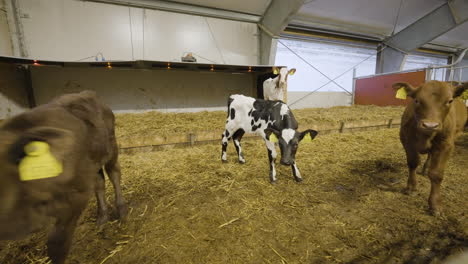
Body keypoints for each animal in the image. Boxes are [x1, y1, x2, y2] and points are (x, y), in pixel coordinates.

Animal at [0, 90, 127, 262]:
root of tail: (86, 93)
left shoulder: (77, 197)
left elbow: (57, 245)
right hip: (93, 162)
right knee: (99, 183)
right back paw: (102, 217)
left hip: (111, 148)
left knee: (114, 173)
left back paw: (121, 210)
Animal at [394, 80, 466, 214]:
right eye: (416, 100)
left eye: (449, 101)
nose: (430, 125)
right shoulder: (406, 140)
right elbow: (413, 163)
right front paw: (411, 188)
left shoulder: (446, 145)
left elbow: (436, 174)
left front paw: (435, 204)